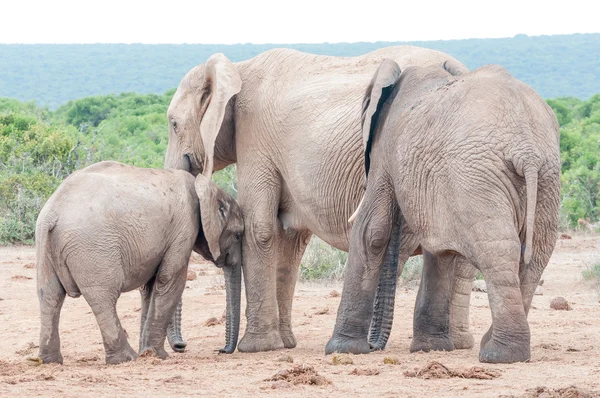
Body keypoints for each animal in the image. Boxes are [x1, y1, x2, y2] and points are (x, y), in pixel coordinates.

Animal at [35, 161, 244, 364]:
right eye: (238, 234)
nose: (221, 350)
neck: (203, 187)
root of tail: (52, 213)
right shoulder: (185, 227)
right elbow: (170, 280)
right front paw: (158, 355)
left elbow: (150, 287)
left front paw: (148, 353)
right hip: (92, 247)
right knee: (103, 297)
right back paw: (126, 358)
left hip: (47, 245)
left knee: (50, 296)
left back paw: (50, 361)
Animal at [164, 45, 474, 352]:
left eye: (174, 124)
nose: (182, 346)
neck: (238, 68)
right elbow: (290, 239)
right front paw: (286, 344)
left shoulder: (253, 135)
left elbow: (260, 228)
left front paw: (257, 348)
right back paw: (455, 344)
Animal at [326, 60, 560, 362]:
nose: (373, 346)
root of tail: (527, 151)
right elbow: (439, 248)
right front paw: (430, 348)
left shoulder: (385, 149)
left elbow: (371, 230)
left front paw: (341, 350)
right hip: (544, 175)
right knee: (535, 255)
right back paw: (497, 347)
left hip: (478, 174)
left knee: (499, 249)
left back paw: (499, 354)